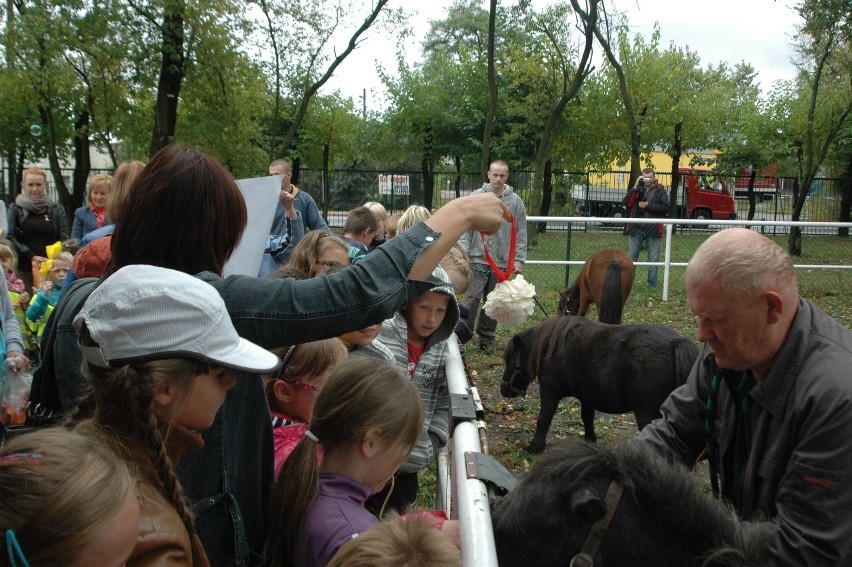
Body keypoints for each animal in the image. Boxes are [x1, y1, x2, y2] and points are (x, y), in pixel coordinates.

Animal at [502, 318, 696, 454]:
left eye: (509, 359)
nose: (503, 390)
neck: (553, 348)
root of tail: (675, 343)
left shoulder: (550, 391)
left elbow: (543, 418)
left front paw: (535, 447)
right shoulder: (587, 395)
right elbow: (587, 417)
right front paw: (590, 440)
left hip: (647, 414)